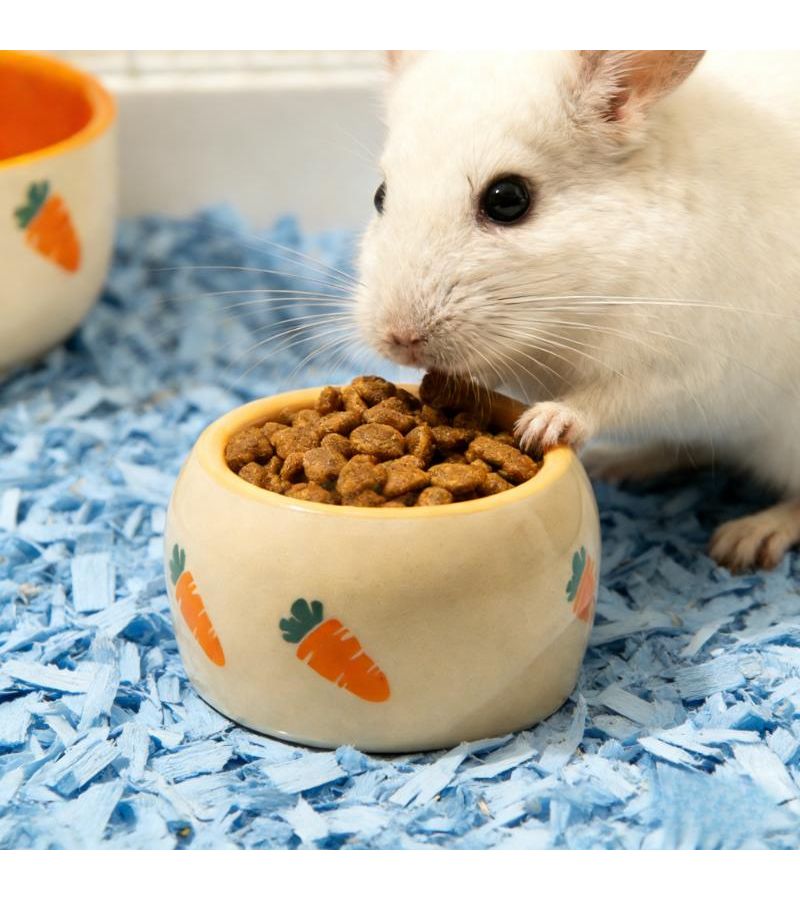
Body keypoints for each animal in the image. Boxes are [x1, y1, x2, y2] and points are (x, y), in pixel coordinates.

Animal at [353, 50, 800, 572]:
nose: (398, 341)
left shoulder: (691, 366)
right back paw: (618, 464)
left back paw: (745, 540)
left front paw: (542, 425)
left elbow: (609, 398)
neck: (570, 312)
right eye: (379, 195)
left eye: (508, 199)